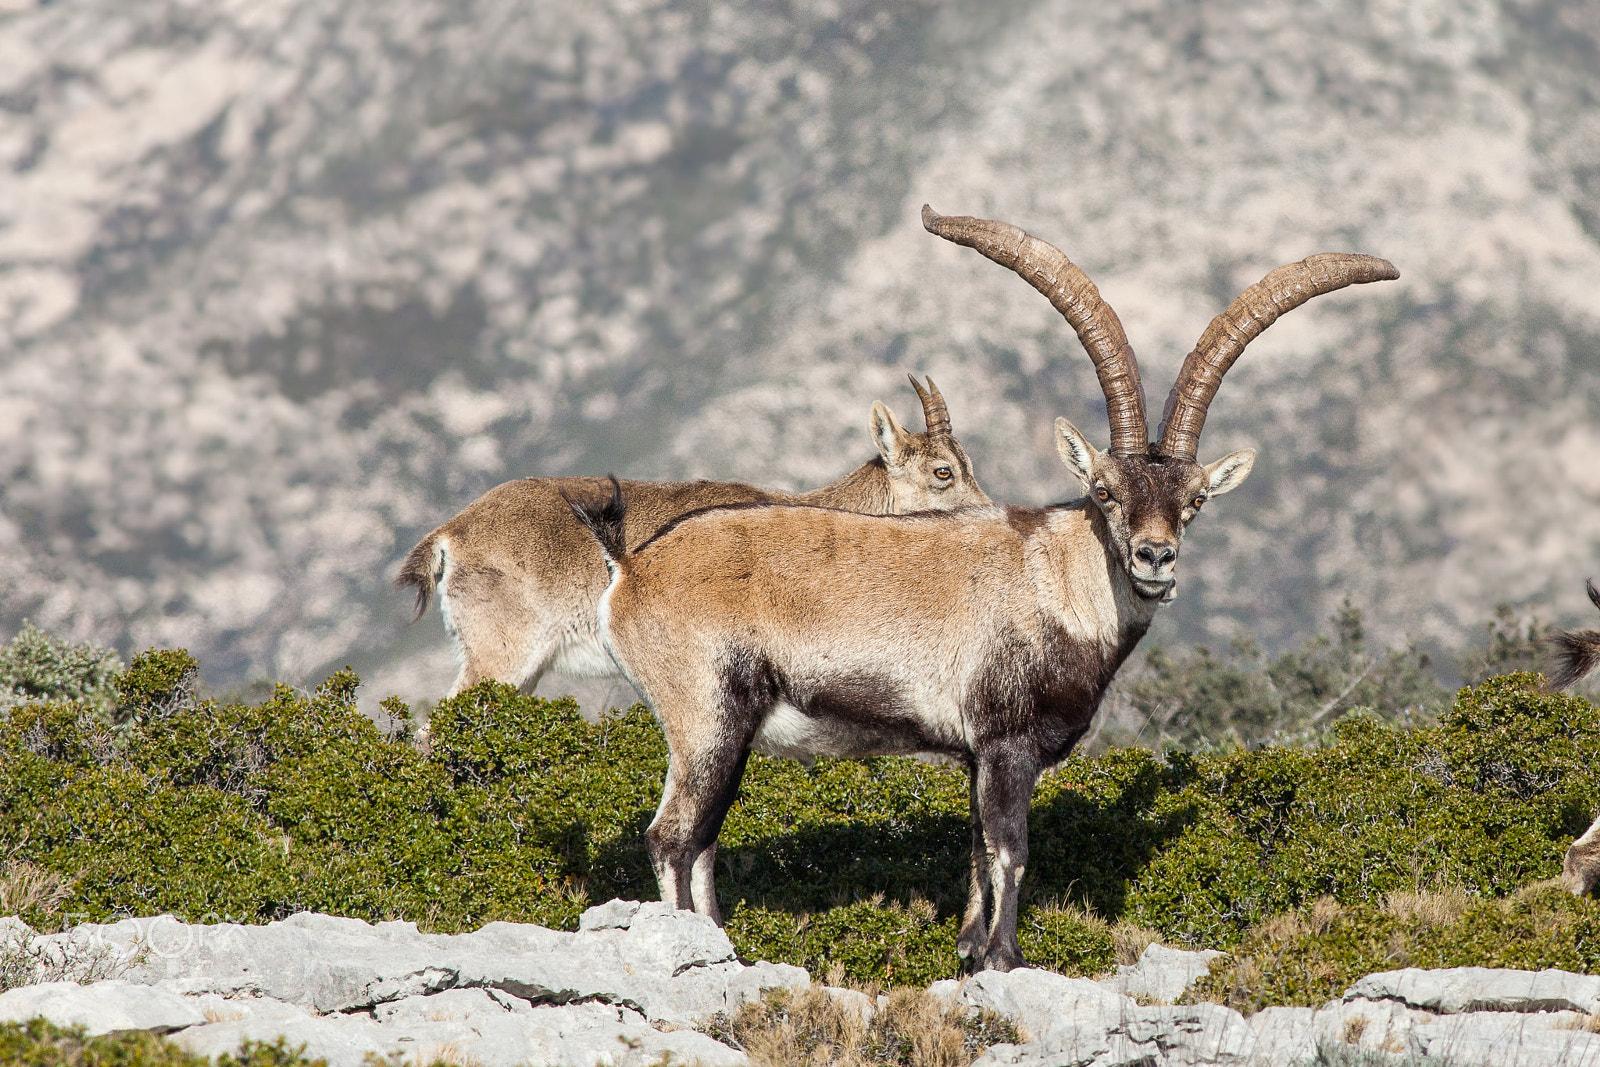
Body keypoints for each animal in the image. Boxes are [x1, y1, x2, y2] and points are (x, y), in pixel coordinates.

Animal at [568, 205, 1399, 972]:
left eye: (1194, 499)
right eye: (1104, 491)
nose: (1154, 556)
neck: (1057, 580)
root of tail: (631, 567)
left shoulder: (973, 755)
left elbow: (973, 848)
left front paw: (969, 950)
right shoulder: (1007, 742)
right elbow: (1010, 847)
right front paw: (1003, 956)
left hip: (720, 732)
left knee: (702, 839)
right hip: (707, 713)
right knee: (673, 837)